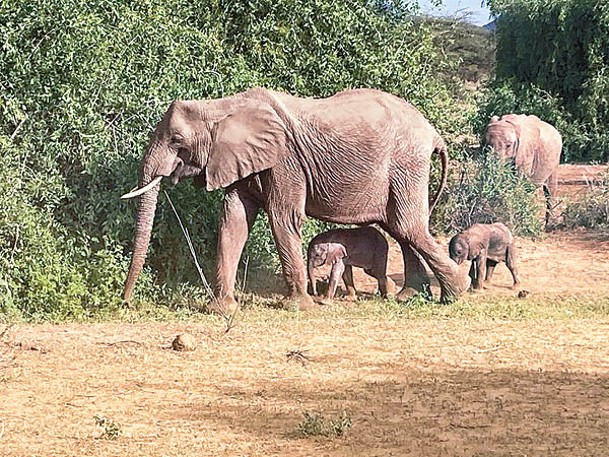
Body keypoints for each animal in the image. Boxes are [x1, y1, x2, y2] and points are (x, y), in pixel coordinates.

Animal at [120, 87, 470, 312]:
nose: (126, 303)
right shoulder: (243, 159)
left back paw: (457, 292)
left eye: (177, 140)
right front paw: (221, 309)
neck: (222, 106)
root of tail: (433, 133)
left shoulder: (285, 160)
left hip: (405, 163)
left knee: (407, 225)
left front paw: (297, 306)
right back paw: (410, 296)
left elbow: (282, 216)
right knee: (401, 229)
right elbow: (234, 219)